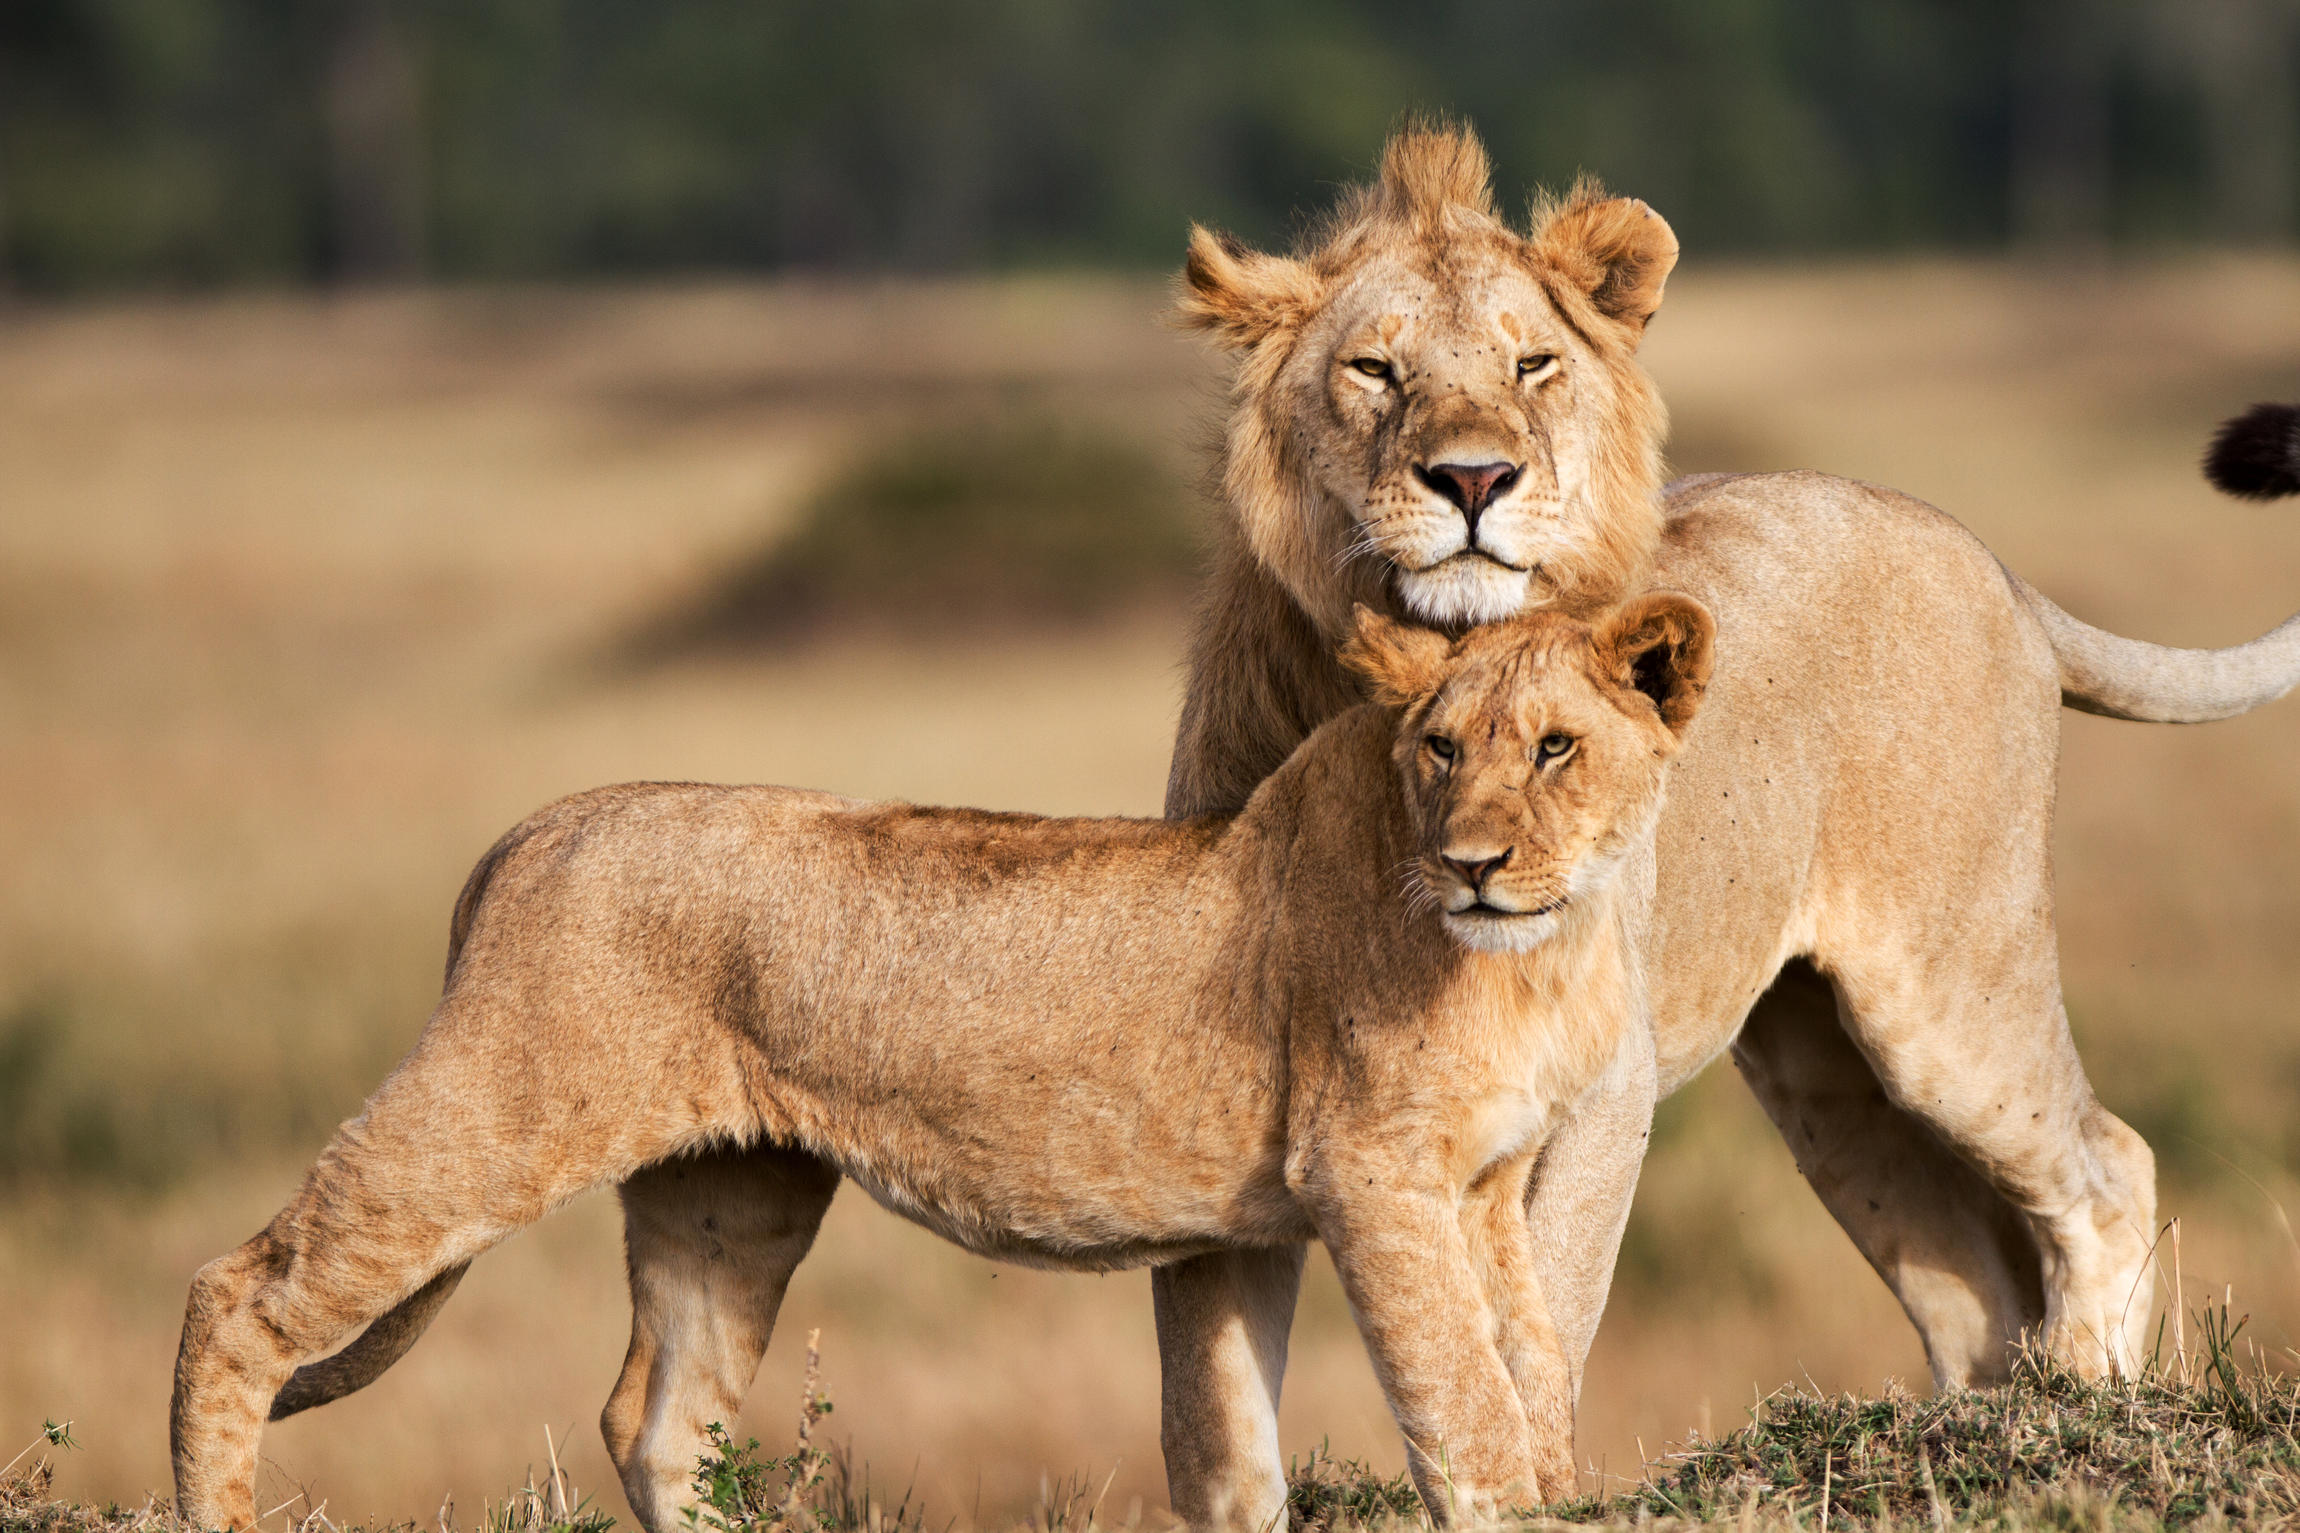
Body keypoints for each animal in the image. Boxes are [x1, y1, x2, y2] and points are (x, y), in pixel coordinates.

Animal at [174, 597, 1711, 1533]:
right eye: (1439, 748)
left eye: (1556, 747)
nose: (1471, 862)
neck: (1542, 950)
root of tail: (536, 824)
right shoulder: (1371, 1175)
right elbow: (1464, 1399)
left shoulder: (1486, 1186)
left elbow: (1529, 1367)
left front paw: (1565, 1487)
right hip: (499, 1107)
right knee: (239, 1293)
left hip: (733, 1195)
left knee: (657, 1416)